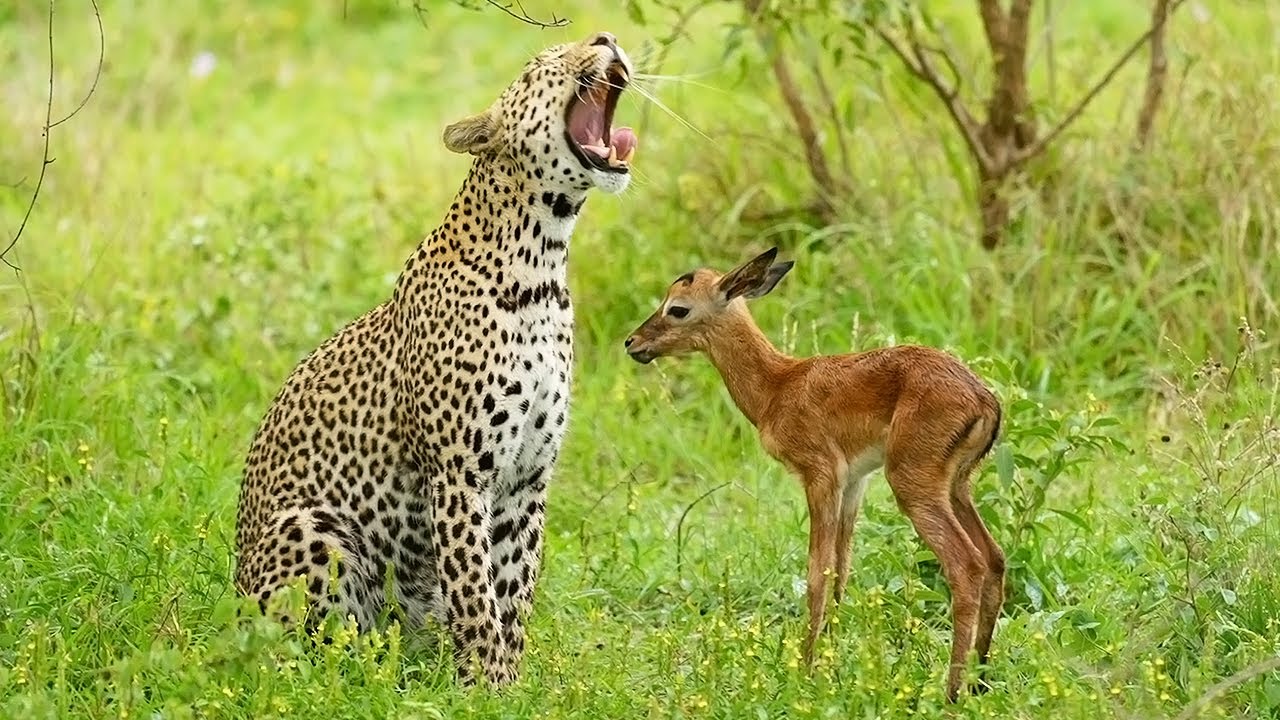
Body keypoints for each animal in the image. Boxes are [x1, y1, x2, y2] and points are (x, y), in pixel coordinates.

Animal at [234, 31, 638, 687]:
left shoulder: (528, 477)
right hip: (312, 531)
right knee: (307, 652)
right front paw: (488, 686)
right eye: (545, 60)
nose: (607, 37)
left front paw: (513, 682)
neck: (542, 264)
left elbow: (513, 588)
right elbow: (475, 589)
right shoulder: (458, 473)